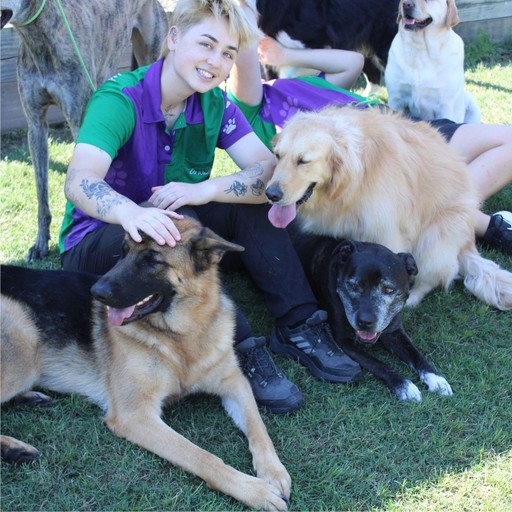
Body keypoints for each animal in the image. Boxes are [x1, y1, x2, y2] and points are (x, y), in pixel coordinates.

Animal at [290, 226, 454, 402]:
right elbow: (379, 364)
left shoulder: (394, 332)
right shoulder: (343, 341)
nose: (365, 321)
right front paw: (404, 385)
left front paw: (436, 378)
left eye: (389, 289)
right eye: (353, 286)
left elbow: (416, 354)